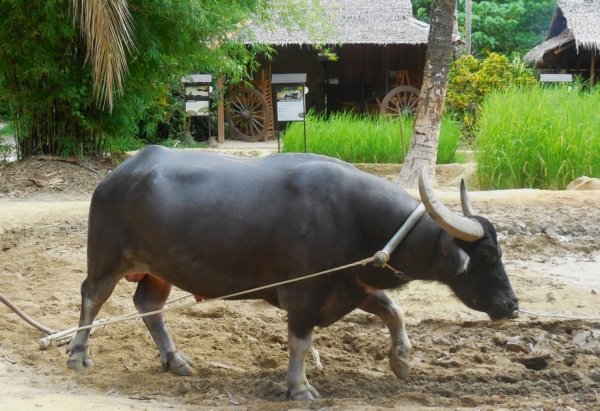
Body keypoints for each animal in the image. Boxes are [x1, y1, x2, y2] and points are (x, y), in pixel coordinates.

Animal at [68, 146, 516, 400]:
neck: (359, 220)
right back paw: (77, 354)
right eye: (487, 253)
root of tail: (115, 176)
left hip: (160, 269)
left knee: (149, 305)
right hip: (107, 258)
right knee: (92, 296)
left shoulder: (352, 283)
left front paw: (401, 361)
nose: (512, 305)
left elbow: (394, 311)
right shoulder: (305, 294)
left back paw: (175, 360)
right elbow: (300, 341)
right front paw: (298, 387)